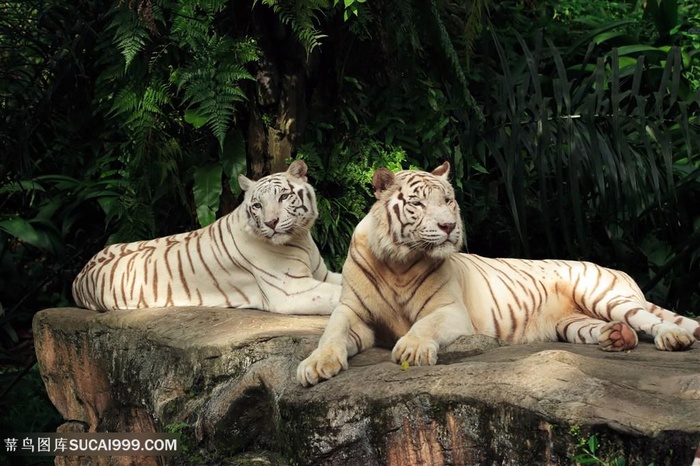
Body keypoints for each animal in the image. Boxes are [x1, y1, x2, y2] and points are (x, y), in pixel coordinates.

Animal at [73, 158, 342, 314]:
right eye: (257, 206)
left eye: (284, 197)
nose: (271, 223)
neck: (300, 237)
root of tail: (79, 276)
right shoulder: (292, 290)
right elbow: (339, 295)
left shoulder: (322, 274)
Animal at [296, 163, 700, 386]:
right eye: (418, 203)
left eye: (448, 200)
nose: (448, 226)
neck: (397, 261)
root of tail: (618, 271)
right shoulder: (352, 311)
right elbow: (331, 334)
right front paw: (315, 366)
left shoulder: (448, 310)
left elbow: (423, 326)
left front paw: (412, 348)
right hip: (572, 323)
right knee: (612, 328)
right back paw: (618, 338)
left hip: (603, 295)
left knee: (650, 318)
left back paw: (673, 338)